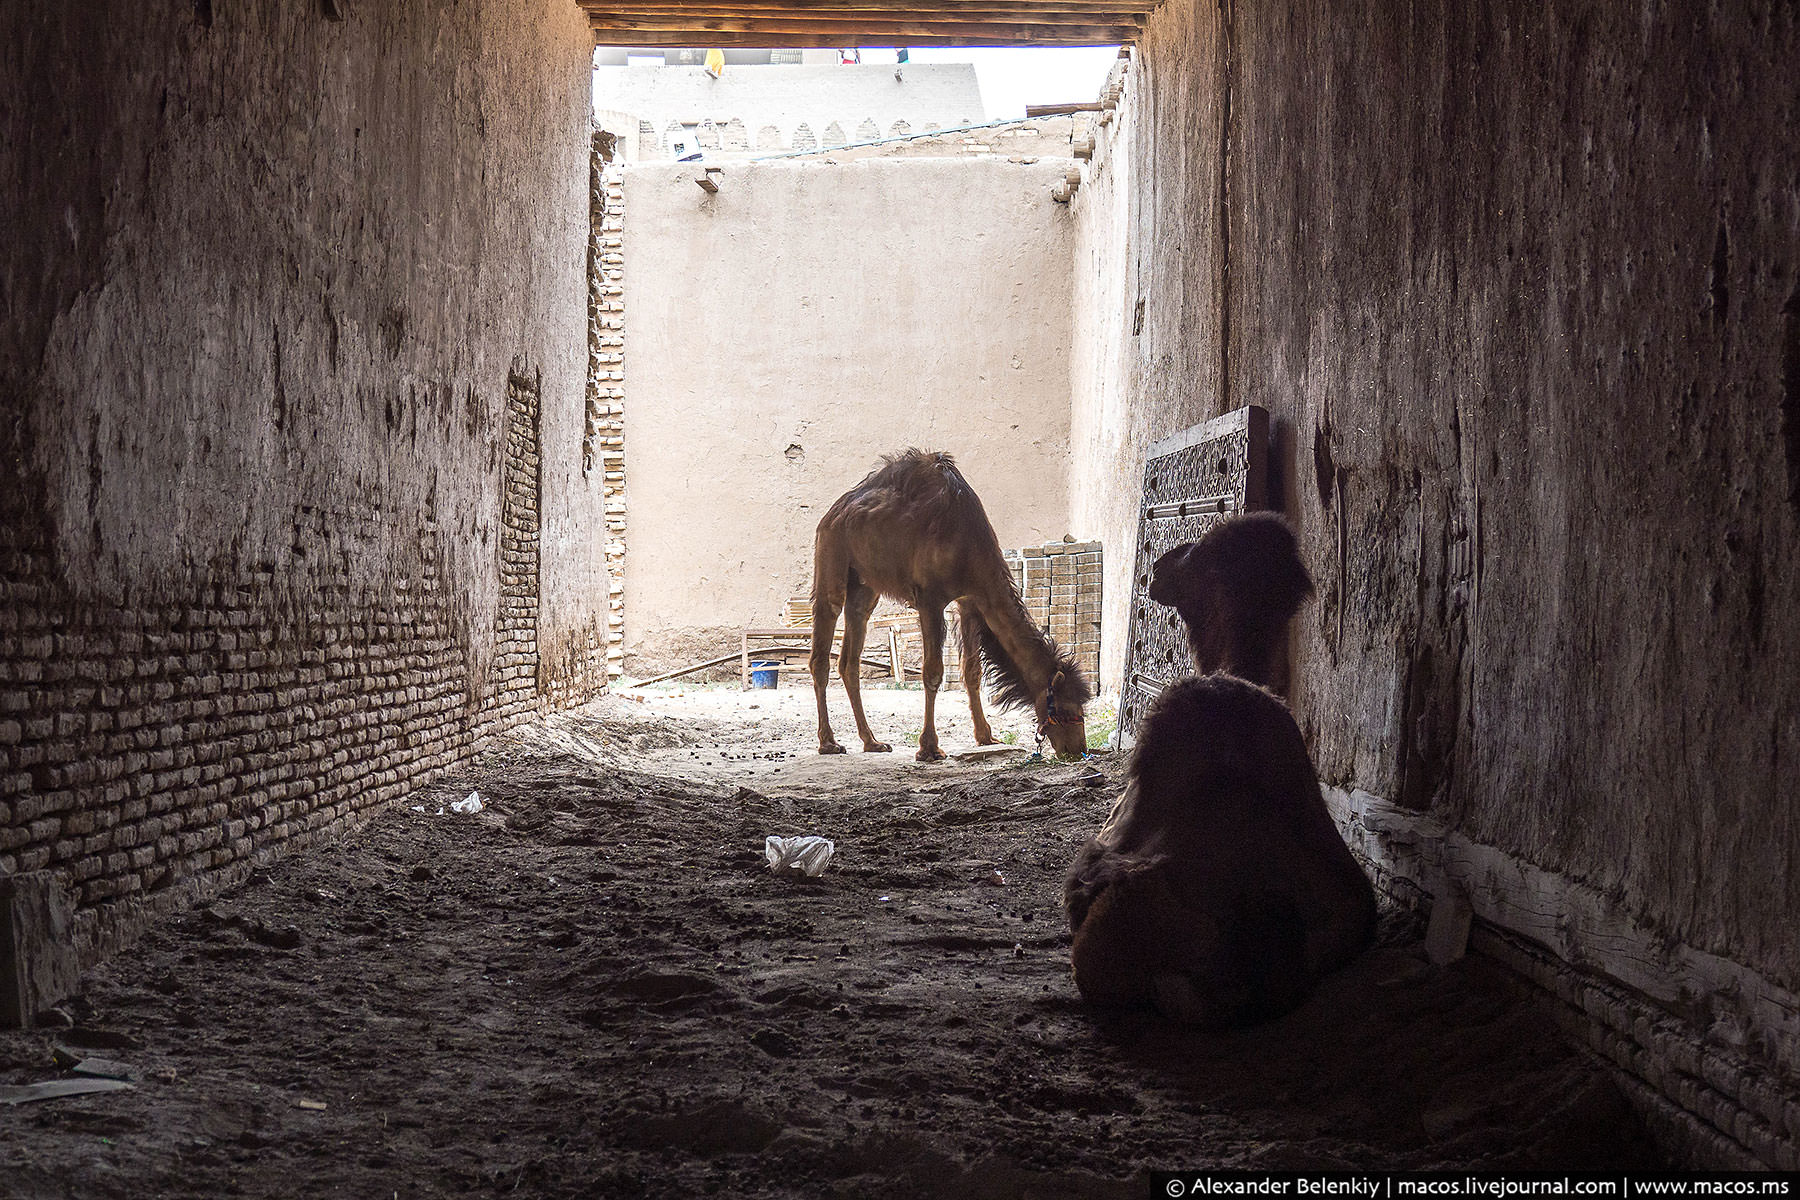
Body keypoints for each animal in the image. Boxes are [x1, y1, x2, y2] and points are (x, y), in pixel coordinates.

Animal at [813, 446, 1087, 766]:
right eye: (1066, 709)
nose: (1077, 750)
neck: (968, 542)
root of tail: (832, 514)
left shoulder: (968, 600)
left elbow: (972, 670)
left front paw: (985, 736)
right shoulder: (930, 599)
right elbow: (932, 672)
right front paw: (929, 748)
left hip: (864, 585)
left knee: (850, 656)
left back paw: (872, 742)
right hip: (832, 554)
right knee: (823, 643)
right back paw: (828, 742)